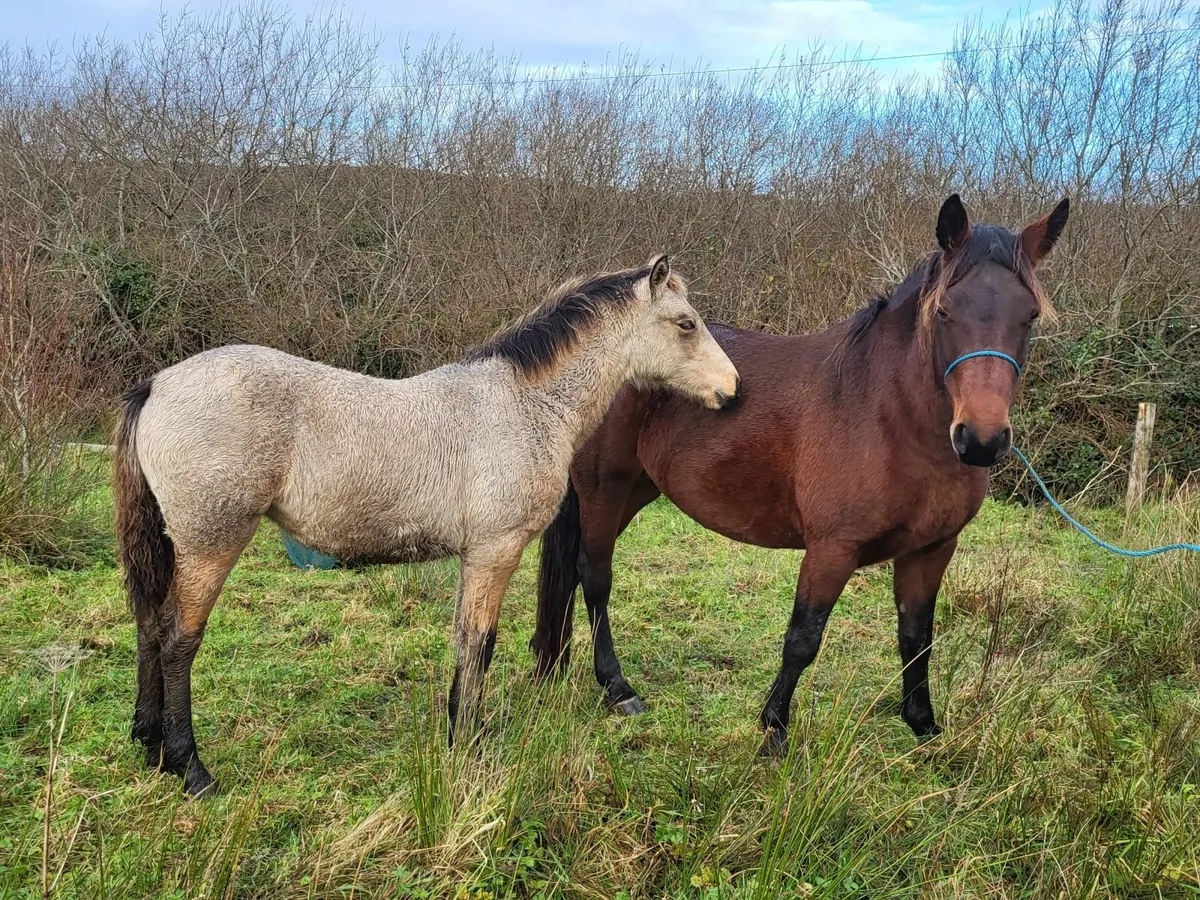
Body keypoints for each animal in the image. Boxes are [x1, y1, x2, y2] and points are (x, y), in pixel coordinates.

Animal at [113, 255, 741, 795]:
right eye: (686, 323)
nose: (732, 391)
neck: (523, 406)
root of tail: (157, 386)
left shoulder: (479, 555)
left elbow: (467, 640)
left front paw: (463, 731)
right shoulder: (494, 550)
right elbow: (478, 644)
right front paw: (470, 743)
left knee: (148, 623)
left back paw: (150, 745)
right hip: (211, 542)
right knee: (177, 638)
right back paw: (190, 768)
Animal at [530, 195, 1070, 753]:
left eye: (1030, 315)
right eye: (944, 311)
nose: (981, 440)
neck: (889, 418)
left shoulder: (932, 549)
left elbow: (916, 637)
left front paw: (923, 726)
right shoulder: (833, 549)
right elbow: (803, 639)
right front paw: (774, 729)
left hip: (635, 490)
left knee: (574, 572)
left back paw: (552, 664)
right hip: (604, 489)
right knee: (595, 576)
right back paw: (617, 687)